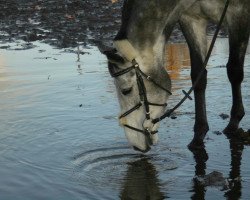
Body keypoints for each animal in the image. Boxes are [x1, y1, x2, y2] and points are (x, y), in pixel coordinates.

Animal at [103, 0, 248, 152]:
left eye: (126, 90)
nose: (136, 145)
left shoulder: (239, 14)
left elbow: (234, 71)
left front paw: (233, 123)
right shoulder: (191, 18)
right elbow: (199, 76)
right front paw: (198, 136)